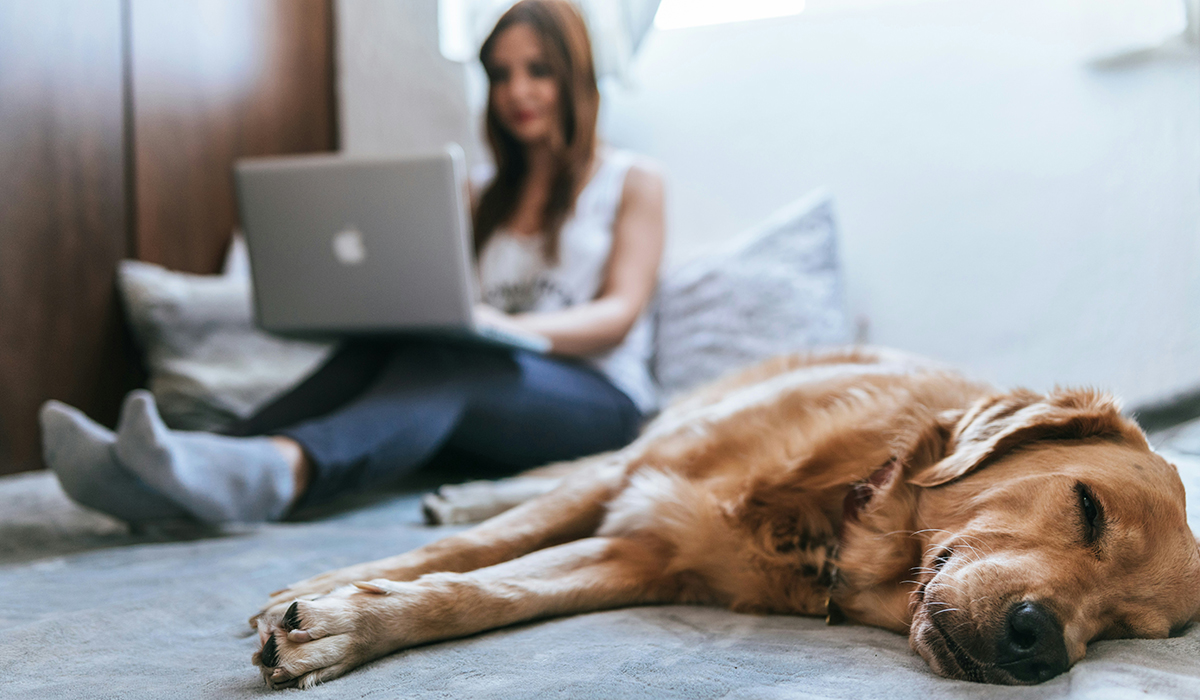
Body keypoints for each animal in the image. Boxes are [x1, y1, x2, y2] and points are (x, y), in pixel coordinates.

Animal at [248, 348, 1195, 686]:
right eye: (1086, 508)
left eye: (1127, 629)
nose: (1041, 645)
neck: (836, 510)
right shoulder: (637, 480)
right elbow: (485, 545)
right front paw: (330, 589)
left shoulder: (639, 556)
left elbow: (485, 592)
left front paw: (343, 626)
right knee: (552, 476)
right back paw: (461, 491)